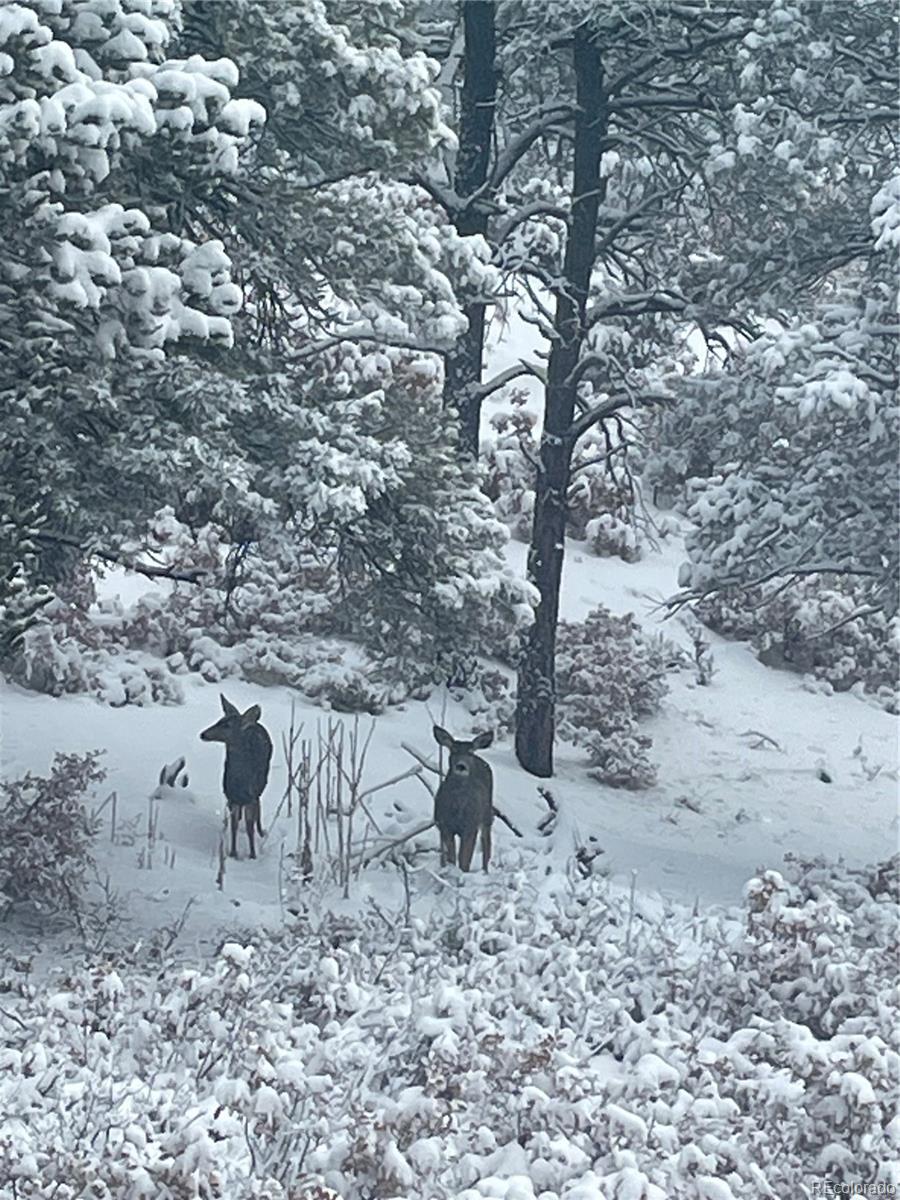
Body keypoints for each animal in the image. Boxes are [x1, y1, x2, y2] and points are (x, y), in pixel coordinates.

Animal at [202, 700, 273, 859]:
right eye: (219, 720)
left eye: (227, 725)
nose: (203, 734)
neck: (240, 783)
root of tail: (255, 723)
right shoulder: (232, 796)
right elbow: (234, 826)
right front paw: (233, 852)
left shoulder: (250, 797)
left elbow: (249, 826)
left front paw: (252, 854)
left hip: (261, 784)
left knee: (258, 804)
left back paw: (261, 831)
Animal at [434, 720, 496, 873]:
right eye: (453, 750)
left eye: (470, 752)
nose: (461, 766)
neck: (457, 809)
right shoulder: (444, 825)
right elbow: (452, 857)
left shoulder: (470, 827)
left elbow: (464, 859)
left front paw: (463, 873)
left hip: (486, 815)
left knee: (487, 845)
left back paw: (485, 872)